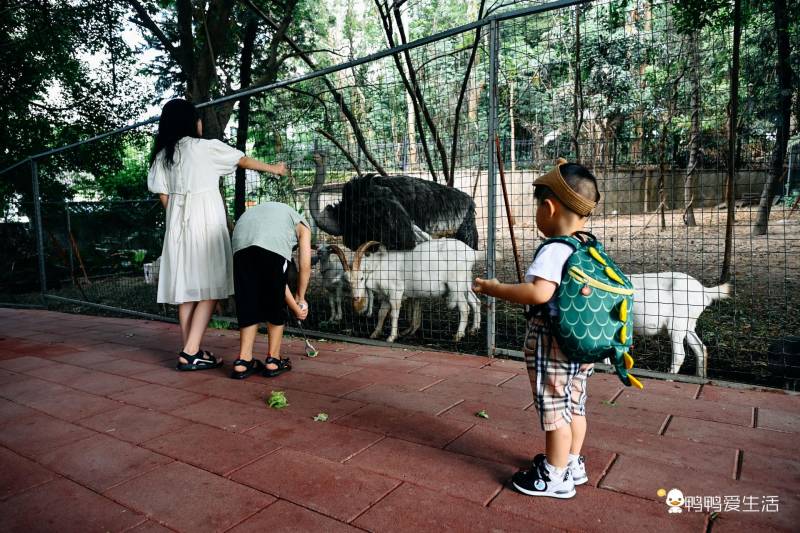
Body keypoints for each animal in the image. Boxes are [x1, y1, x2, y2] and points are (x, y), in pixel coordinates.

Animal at [332, 238, 482, 340]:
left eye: (362, 278)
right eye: (347, 280)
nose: (356, 297)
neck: (379, 266)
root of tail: (472, 253)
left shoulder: (396, 292)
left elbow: (393, 313)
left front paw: (391, 337)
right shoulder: (385, 296)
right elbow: (381, 313)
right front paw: (375, 333)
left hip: (455, 285)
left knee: (464, 307)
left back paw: (458, 335)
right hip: (465, 283)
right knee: (475, 302)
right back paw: (474, 329)